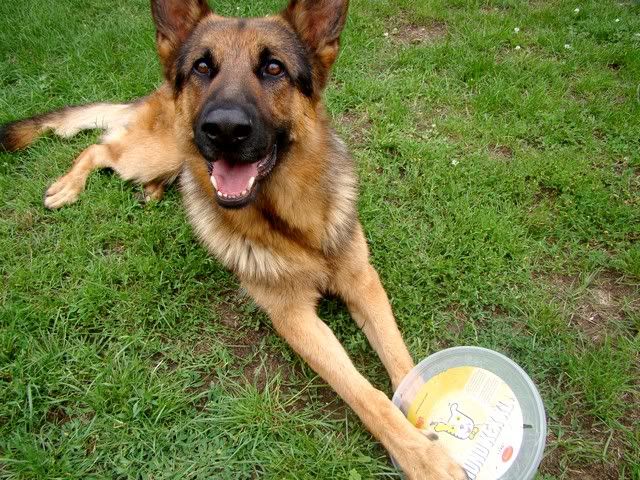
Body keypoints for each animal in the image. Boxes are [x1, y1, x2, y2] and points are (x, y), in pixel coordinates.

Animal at [0, 1, 466, 478]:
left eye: (274, 68)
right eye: (203, 67)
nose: (224, 129)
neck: (293, 221)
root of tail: (158, 90)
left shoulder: (364, 283)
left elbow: (403, 360)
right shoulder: (294, 317)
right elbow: (363, 392)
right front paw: (423, 456)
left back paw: (152, 192)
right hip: (155, 153)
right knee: (100, 149)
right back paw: (68, 186)